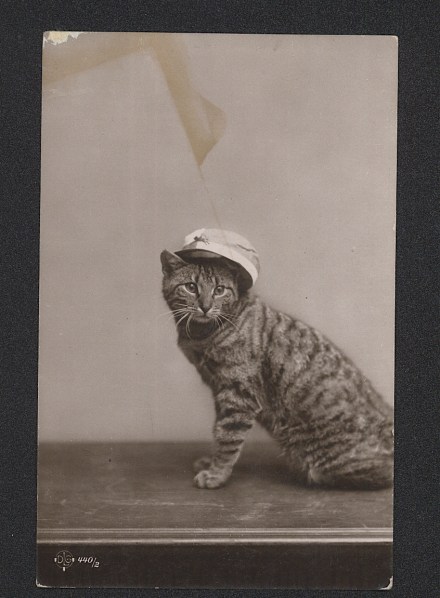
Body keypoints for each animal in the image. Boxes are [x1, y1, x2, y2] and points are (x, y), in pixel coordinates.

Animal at [160, 250, 394, 490]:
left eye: (219, 290)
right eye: (191, 287)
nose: (205, 306)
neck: (201, 335)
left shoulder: (238, 394)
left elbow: (228, 438)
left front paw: (216, 473)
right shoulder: (219, 390)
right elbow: (218, 429)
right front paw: (211, 462)